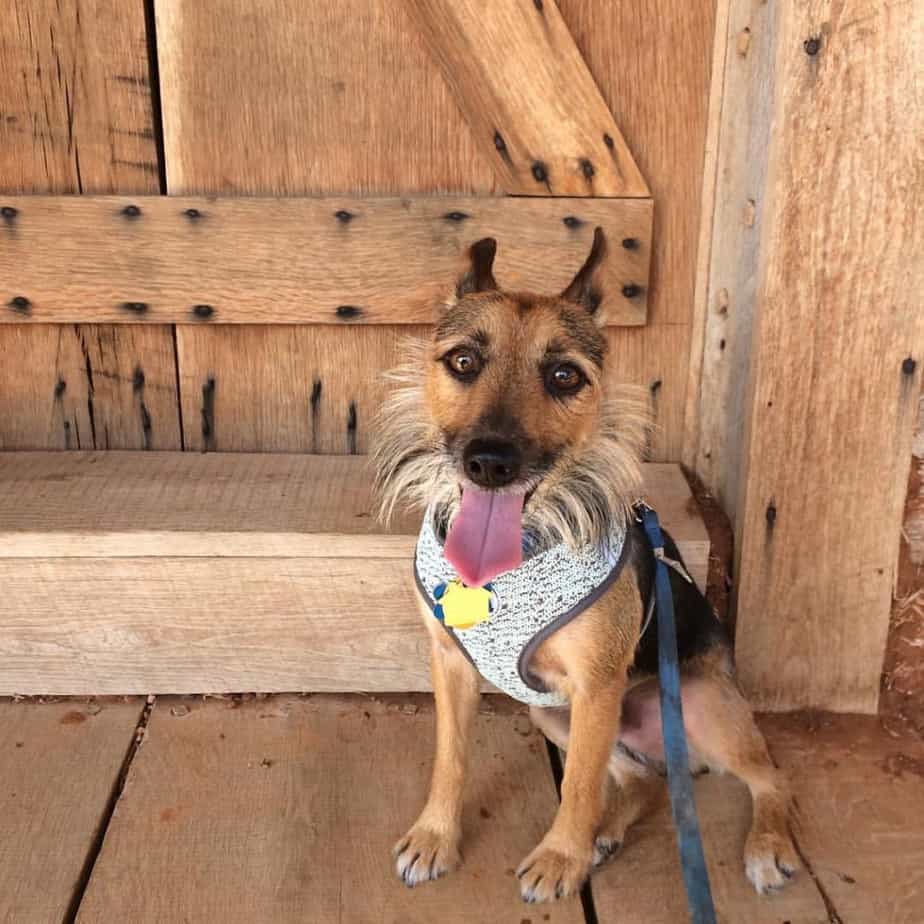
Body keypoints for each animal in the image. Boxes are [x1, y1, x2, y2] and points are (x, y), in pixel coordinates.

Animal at [372, 231, 796, 904]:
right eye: (462, 361)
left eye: (564, 375)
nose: (490, 462)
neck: (510, 563)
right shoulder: (451, 665)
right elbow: (451, 757)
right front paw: (436, 836)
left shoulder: (597, 687)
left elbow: (575, 787)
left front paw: (559, 859)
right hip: (551, 714)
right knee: (639, 781)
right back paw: (608, 833)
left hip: (698, 699)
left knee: (771, 778)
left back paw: (767, 845)